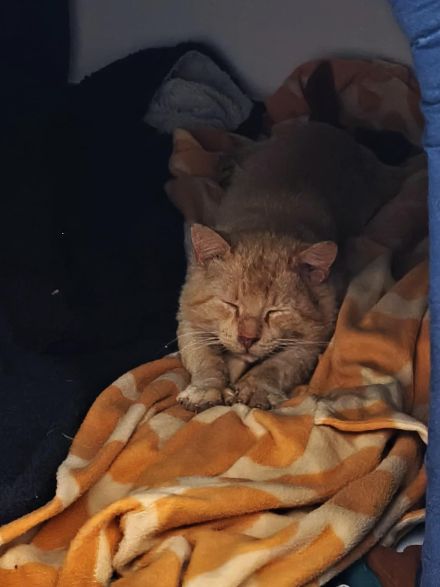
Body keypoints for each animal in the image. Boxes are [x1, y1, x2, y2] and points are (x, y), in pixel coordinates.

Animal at [172, 118, 406, 412]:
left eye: (275, 311)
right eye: (231, 304)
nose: (247, 339)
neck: (268, 223)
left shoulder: (316, 334)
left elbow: (279, 364)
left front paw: (258, 388)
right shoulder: (187, 315)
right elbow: (204, 357)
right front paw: (206, 388)